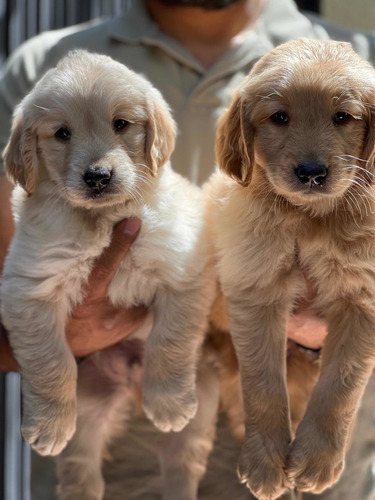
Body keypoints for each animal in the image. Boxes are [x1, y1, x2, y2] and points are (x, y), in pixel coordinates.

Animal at [207, 39, 375, 500]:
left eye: (343, 116)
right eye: (279, 117)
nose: (312, 173)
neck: (310, 217)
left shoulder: (363, 300)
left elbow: (342, 386)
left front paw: (317, 460)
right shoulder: (254, 287)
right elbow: (262, 385)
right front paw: (265, 463)